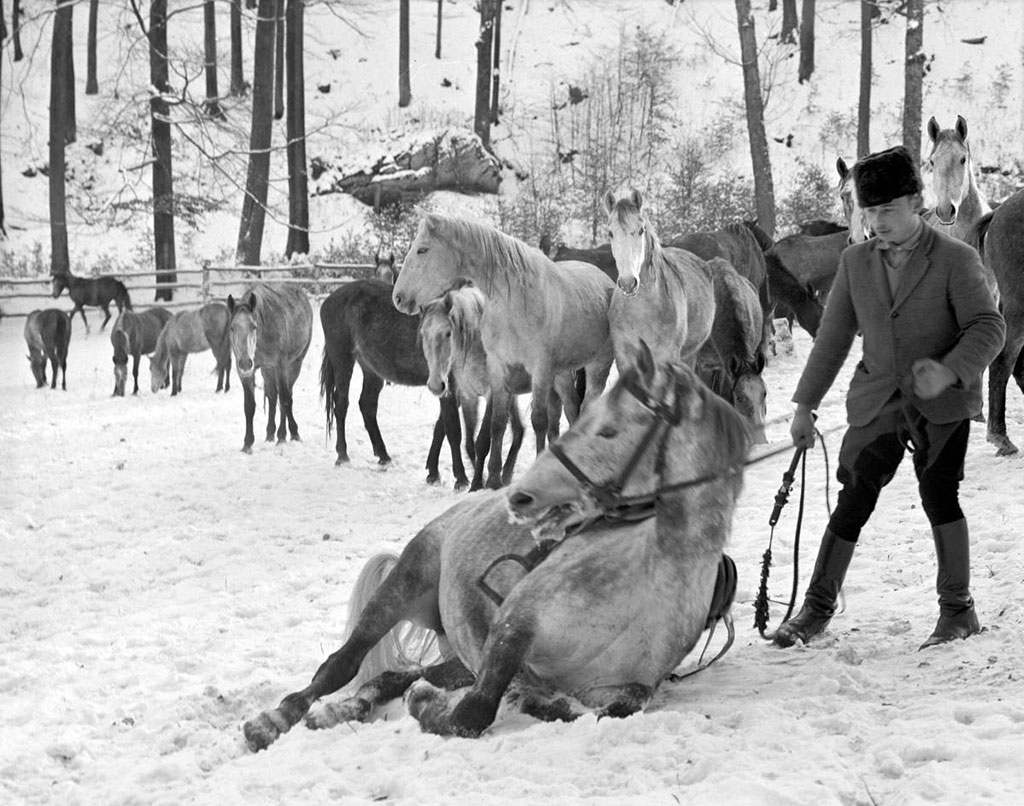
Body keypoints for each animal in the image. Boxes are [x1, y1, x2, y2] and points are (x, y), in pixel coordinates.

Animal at [227, 284, 311, 454]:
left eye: (253, 327)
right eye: (232, 328)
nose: (245, 362)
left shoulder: (281, 366)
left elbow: (285, 400)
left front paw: (288, 435)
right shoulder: (247, 373)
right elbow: (249, 406)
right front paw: (247, 443)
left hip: (294, 365)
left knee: (286, 397)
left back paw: (286, 434)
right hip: (267, 370)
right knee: (273, 397)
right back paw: (270, 433)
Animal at [242, 342, 749, 749]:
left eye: (609, 430)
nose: (520, 496)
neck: (649, 574)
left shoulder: (623, 690)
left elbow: (580, 710)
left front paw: (439, 700)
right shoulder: (514, 626)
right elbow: (477, 710)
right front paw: (431, 706)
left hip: (457, 655)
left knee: (393, 676)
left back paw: (339, 711)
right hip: (405, 583)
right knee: (340, 665)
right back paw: (274, 721)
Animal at [317, 280, 473, 489]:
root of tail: (330, 300)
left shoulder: (447, 388)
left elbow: (440, 427)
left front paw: (432, 472)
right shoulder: (447, 387)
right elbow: (453, 430)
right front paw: (461, 478)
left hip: (372, 369)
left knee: (367, 405)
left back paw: (383, 456)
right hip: (343, 360)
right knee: (341, 405)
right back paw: (342, 456)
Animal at [391, 214, 614, 489]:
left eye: (422, 249)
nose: (398, 298)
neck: (515, 300)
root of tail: (606, 281)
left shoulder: (539, 369)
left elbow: (538, 421)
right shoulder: (498, 369)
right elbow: (497, 425)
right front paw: (493, 479)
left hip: (597, 368)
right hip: (562, 374)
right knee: (573, 409)